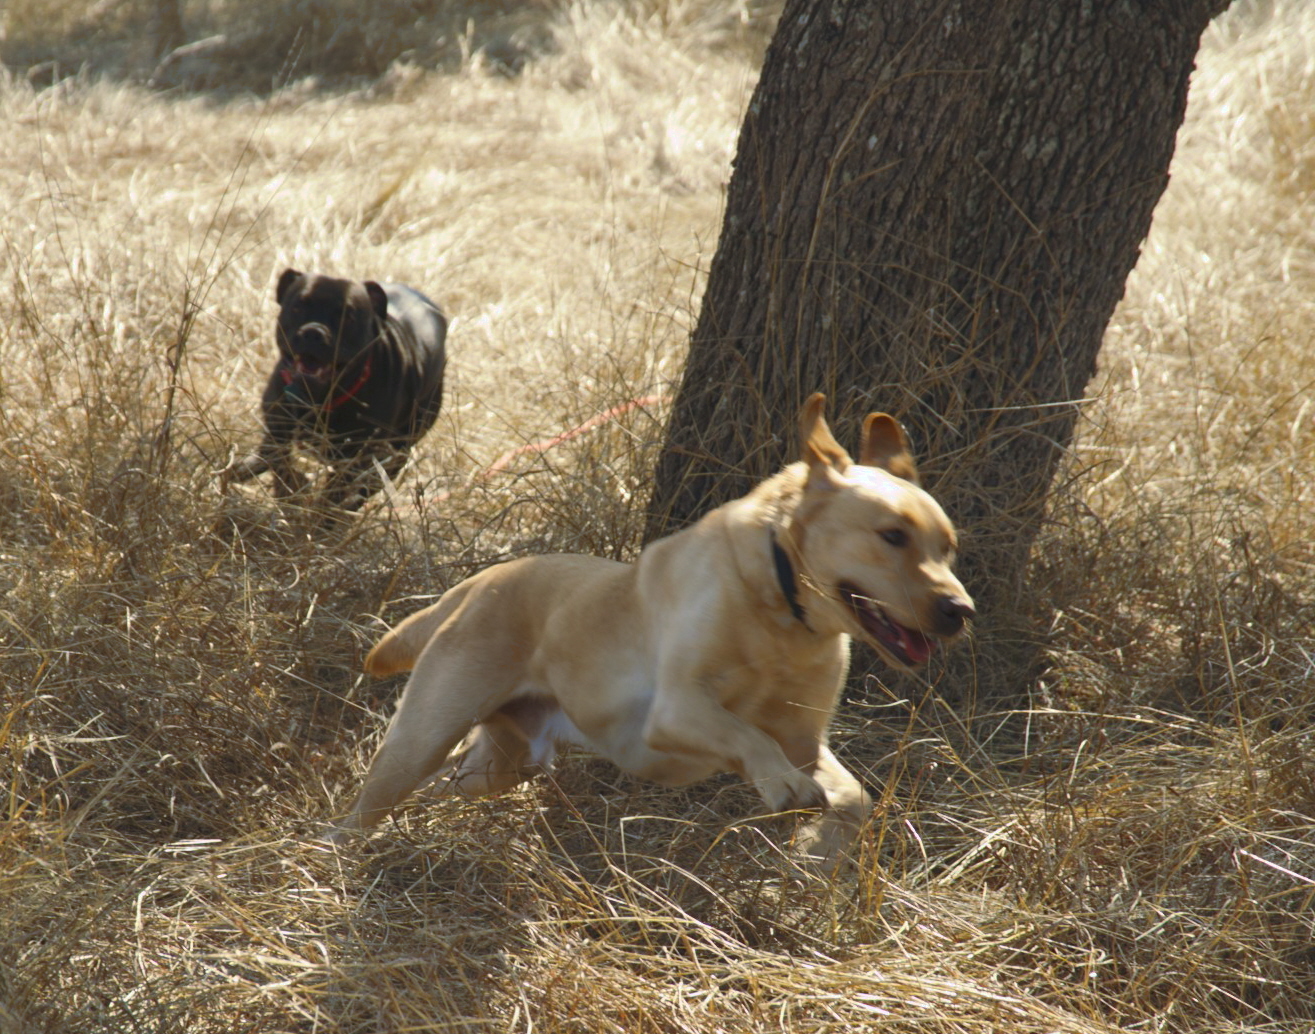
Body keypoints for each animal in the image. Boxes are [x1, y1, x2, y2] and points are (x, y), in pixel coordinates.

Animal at [223, 265, 449, 507]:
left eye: (348, 317)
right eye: (297, 307)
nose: (313, 332)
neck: (319, 396)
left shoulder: (354, 457)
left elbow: (333, 493)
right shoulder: (278, 423)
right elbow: (278, 458)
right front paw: (292, 487)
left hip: (398, 450)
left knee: (368, 487)